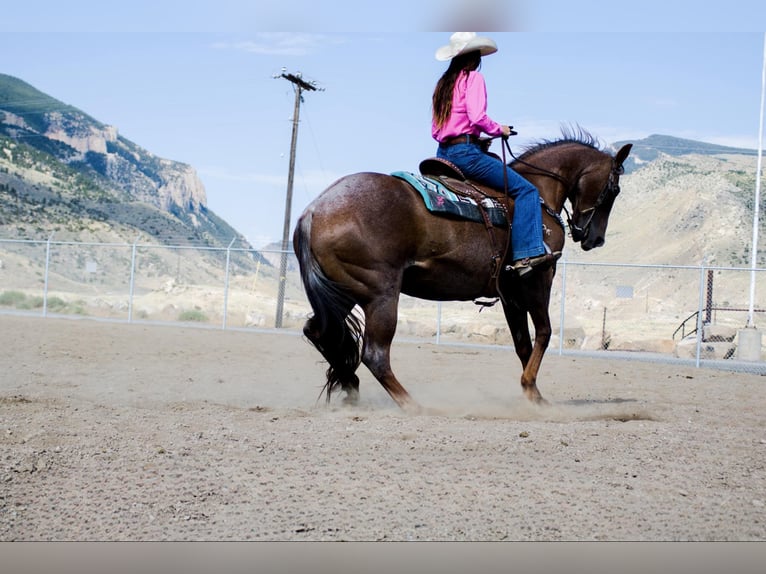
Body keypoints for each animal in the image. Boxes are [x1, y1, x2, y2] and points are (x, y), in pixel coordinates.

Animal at [293, 129, 632, 412]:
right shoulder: (537, 278)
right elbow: (545, 333)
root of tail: (314, 211)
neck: (538, 194)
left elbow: (522, 343)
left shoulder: (509, 293)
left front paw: (533, 393)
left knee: (319, 332)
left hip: (345, 292)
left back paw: (350, 387)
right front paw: (532, 390)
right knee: (375, 354)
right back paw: (412, 404)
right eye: (614, 189)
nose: (594, 238)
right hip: (381, 295)